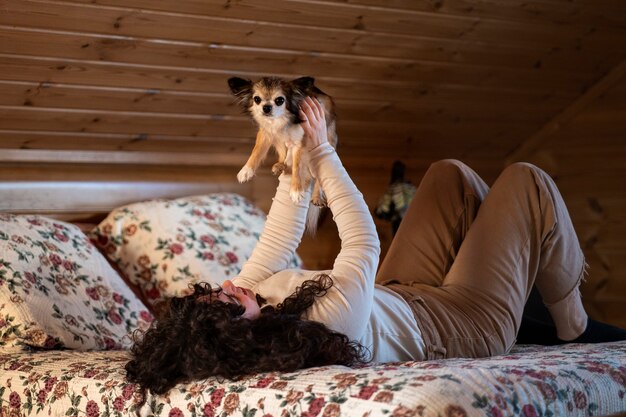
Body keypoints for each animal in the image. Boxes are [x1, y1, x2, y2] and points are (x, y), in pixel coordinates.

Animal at [228, 75, 336, 229]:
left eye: (280, 100)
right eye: (257, 99)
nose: (266, 107)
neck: (278, 122)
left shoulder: (299, 142)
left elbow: (297, 167)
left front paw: (296, 190)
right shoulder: (266, 133)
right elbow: (256, 152)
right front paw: (246, 170)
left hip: (327, 139)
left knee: (319, 179)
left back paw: (316, 196)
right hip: (278, 139)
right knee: (282, 152)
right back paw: (280, 165)